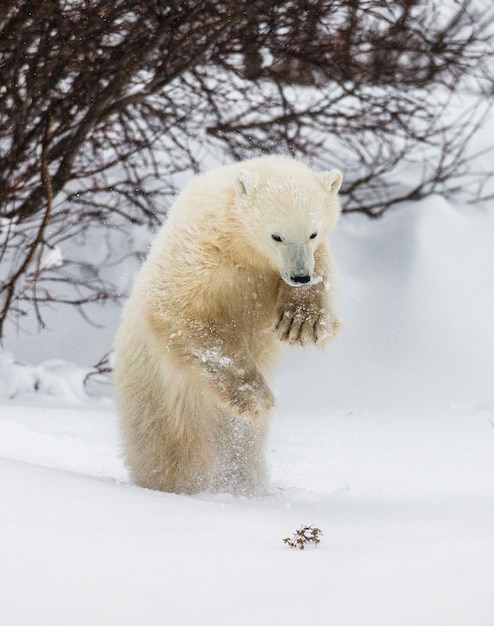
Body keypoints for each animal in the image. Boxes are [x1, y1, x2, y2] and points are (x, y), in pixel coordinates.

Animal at [113, 155, 342, 492]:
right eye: (276, 235)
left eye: (312, 233)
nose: (299, 276)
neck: (238, 242)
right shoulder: (200, 254)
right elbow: (182, 313)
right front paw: (256, 396)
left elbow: (322, 271)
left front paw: (301, 320)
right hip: (156, 397)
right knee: (169, 449)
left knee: (243, 447)